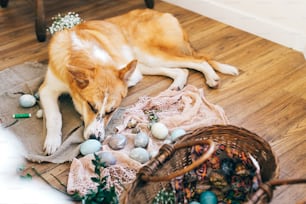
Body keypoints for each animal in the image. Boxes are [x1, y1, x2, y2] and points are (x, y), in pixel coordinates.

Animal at [38, 8, 239, 155]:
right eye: (91, 107)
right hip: (144, 62)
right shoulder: (47, 89)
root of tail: (162, 13)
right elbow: (54, 116)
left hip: (150, 54)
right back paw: (177, 86)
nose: (96, 138)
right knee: (181, 70)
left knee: (199, 61)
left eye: (111, 111)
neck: (81, 53)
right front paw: (52, 141)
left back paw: (211, 77)